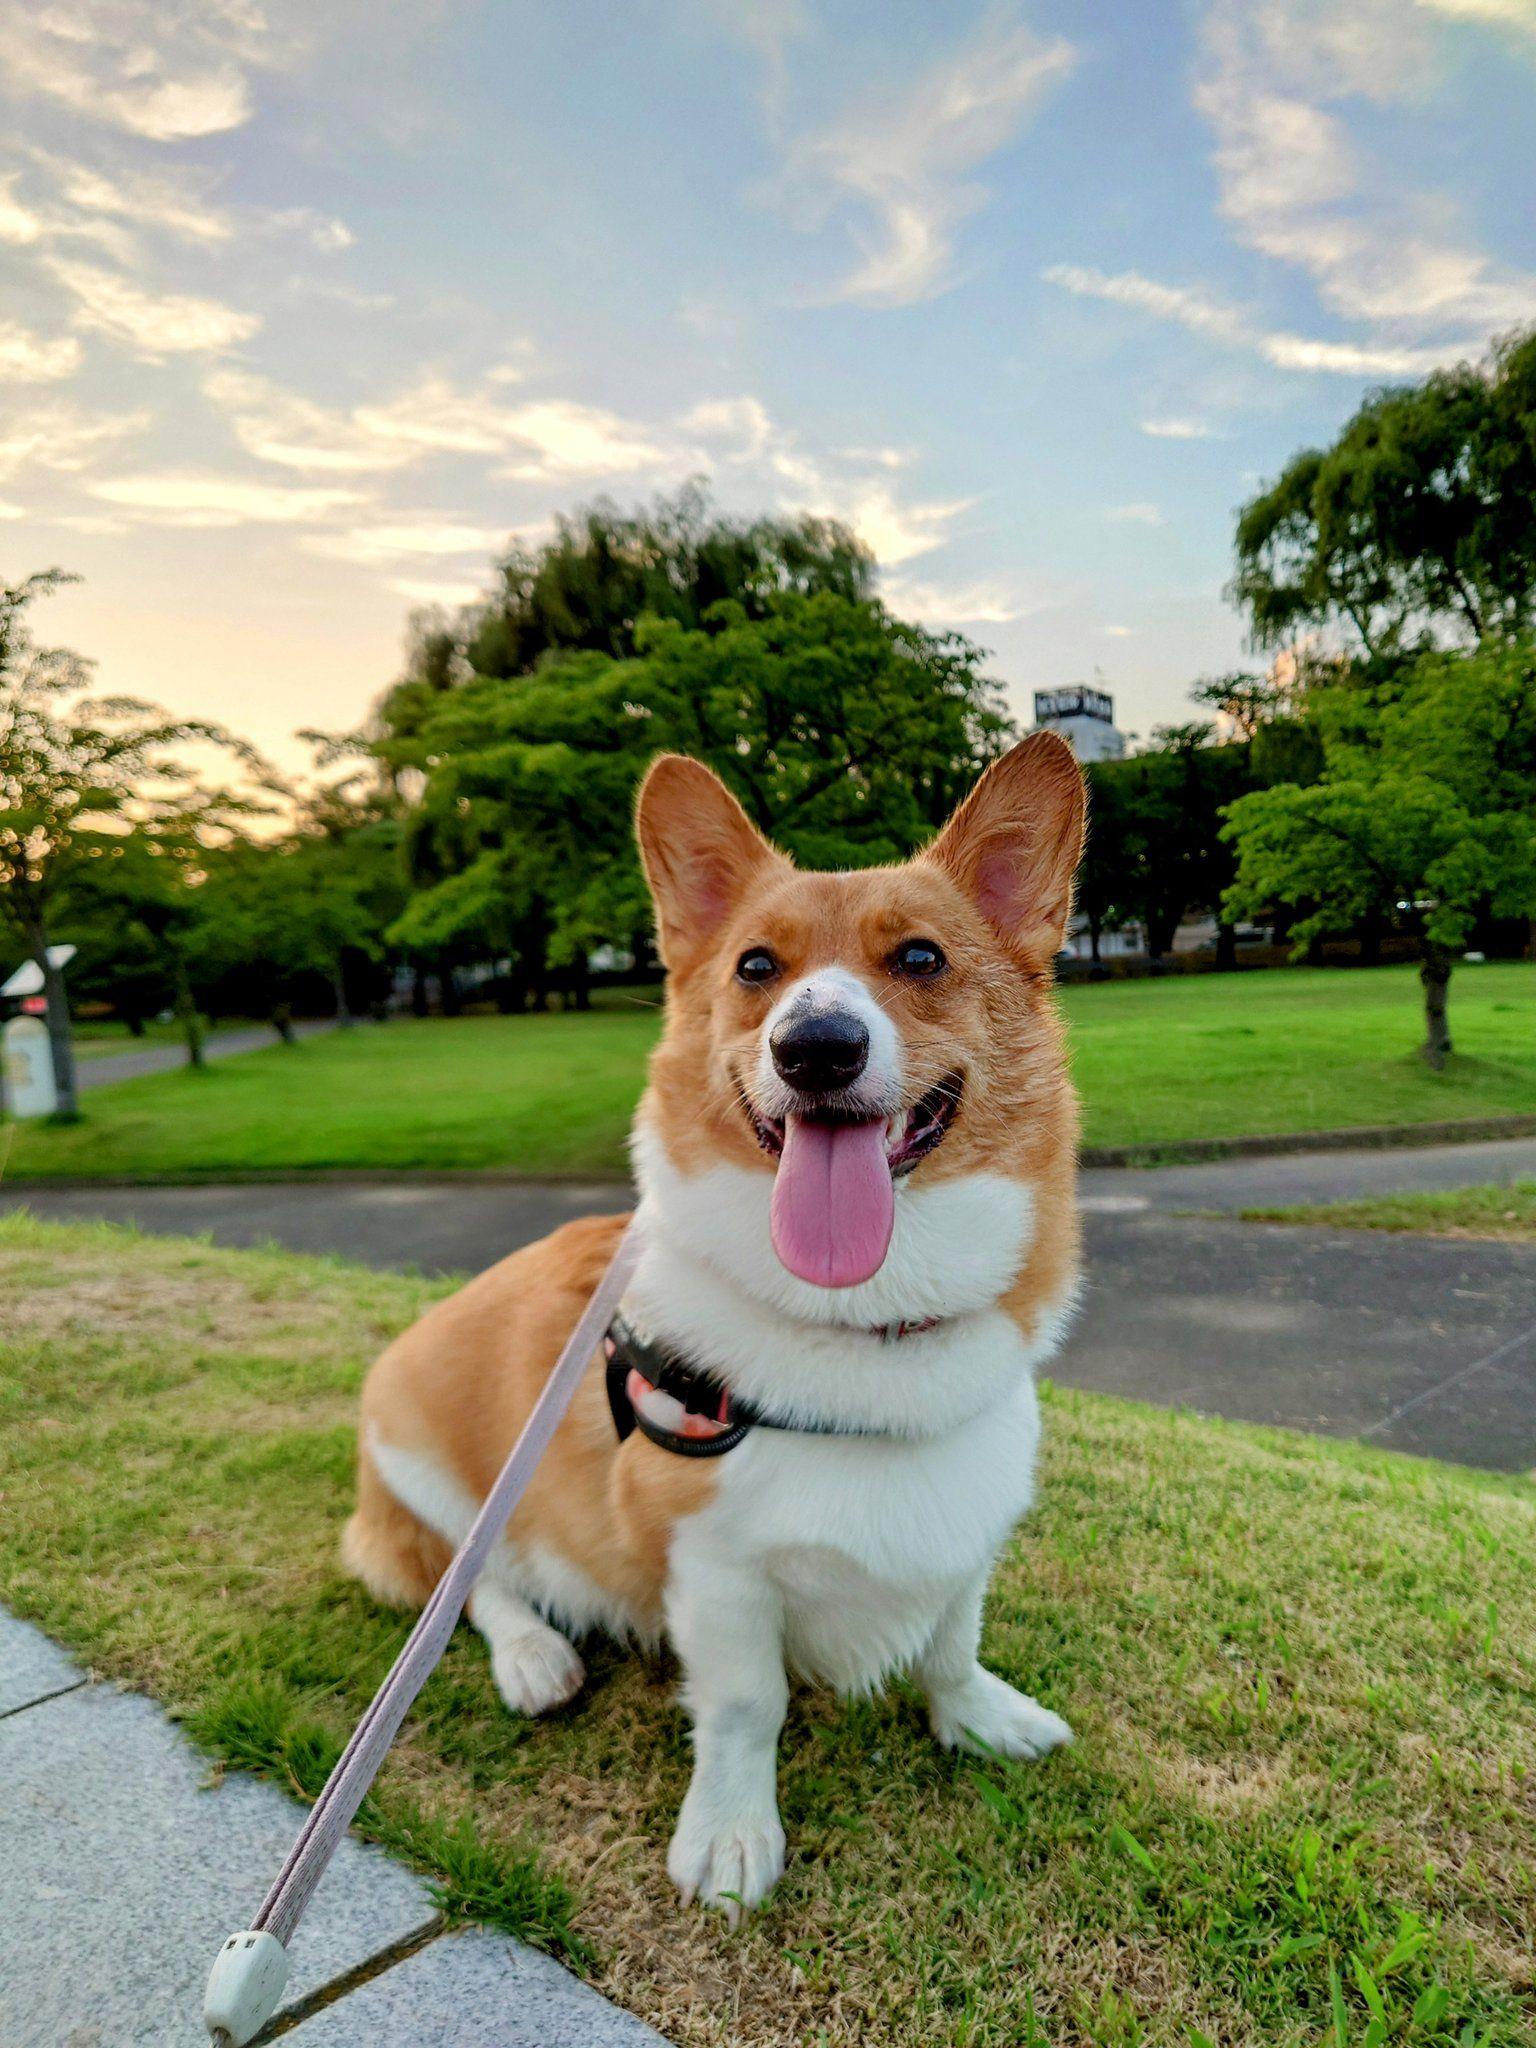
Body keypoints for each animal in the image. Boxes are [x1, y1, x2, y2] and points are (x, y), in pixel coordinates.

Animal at [346, 733, 1097, 1916]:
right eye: (754, 969)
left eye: (921, 957)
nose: (817, 1046)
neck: (863, 1325)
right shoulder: (716, 1570)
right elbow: (748, 1708)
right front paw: (733, 1839)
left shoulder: (966, 1522)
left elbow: (951, 1639)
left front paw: (979, 1716)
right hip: (426, 1460)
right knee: (470, 1589)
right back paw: (533, 1657)